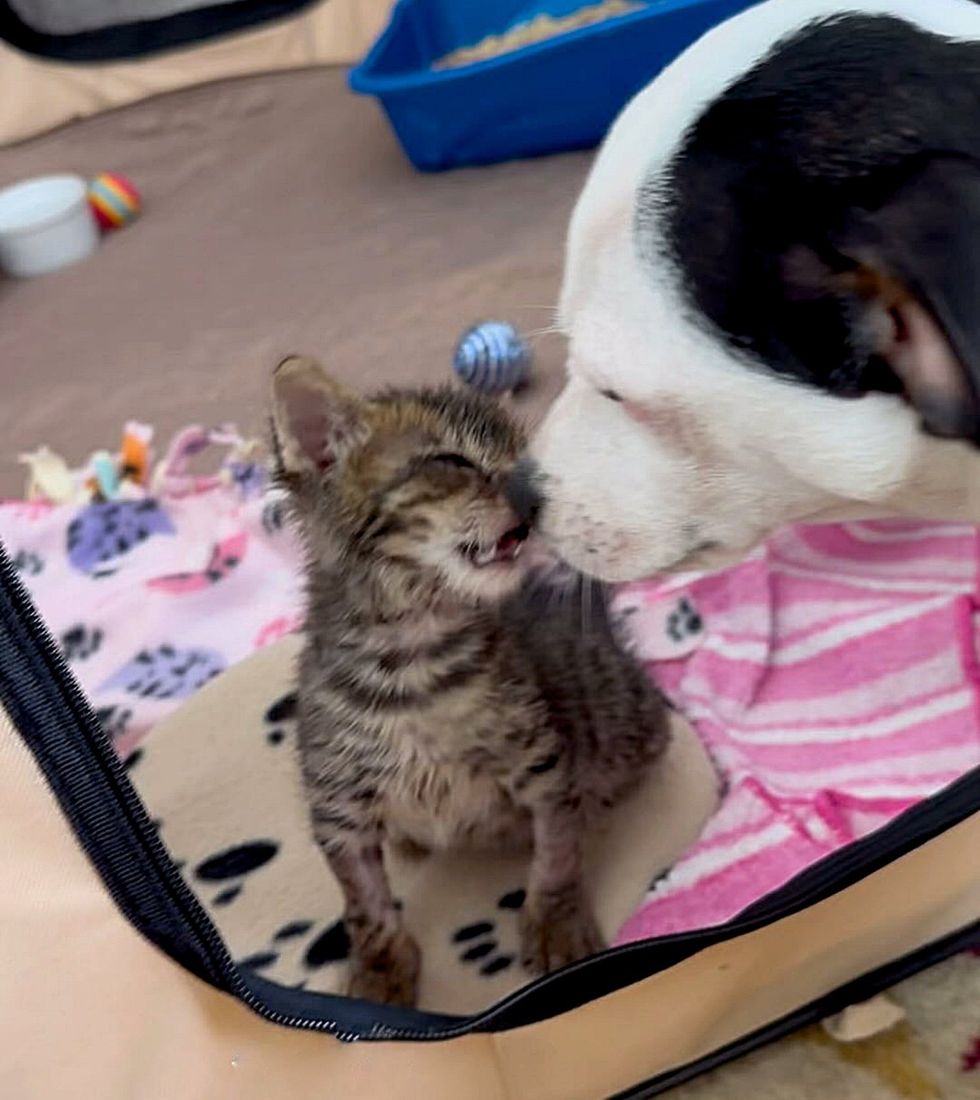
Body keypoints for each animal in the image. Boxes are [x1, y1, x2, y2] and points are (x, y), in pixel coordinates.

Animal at [271, 356, 668, 1007]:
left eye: (524, 460)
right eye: (452, 462)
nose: (536, 500)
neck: (412, 666)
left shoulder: (545, 767)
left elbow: (557, 853)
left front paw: (554, 920)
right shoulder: (337, 807)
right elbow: (364, 904)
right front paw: (379, 969)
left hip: (626, 720)